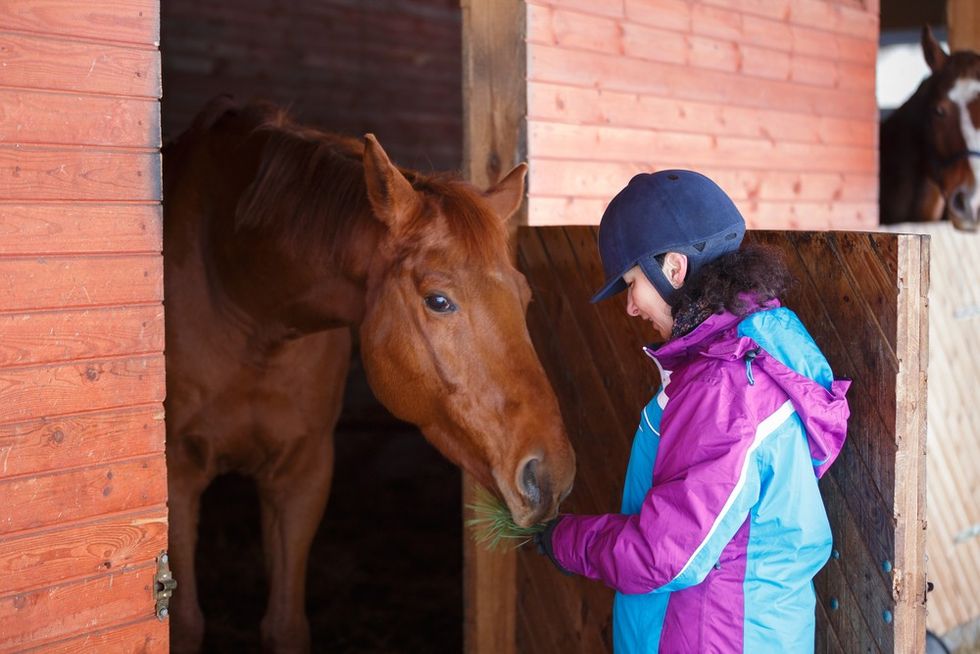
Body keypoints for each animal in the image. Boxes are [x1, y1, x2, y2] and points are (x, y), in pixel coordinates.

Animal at [162, 96, 576, 653]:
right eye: (438, 301)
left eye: (524, 296)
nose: (551, 477)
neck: (240, 294)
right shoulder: (177, 477)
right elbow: (184, 625)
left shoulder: (304, 473)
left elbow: (286, 626)